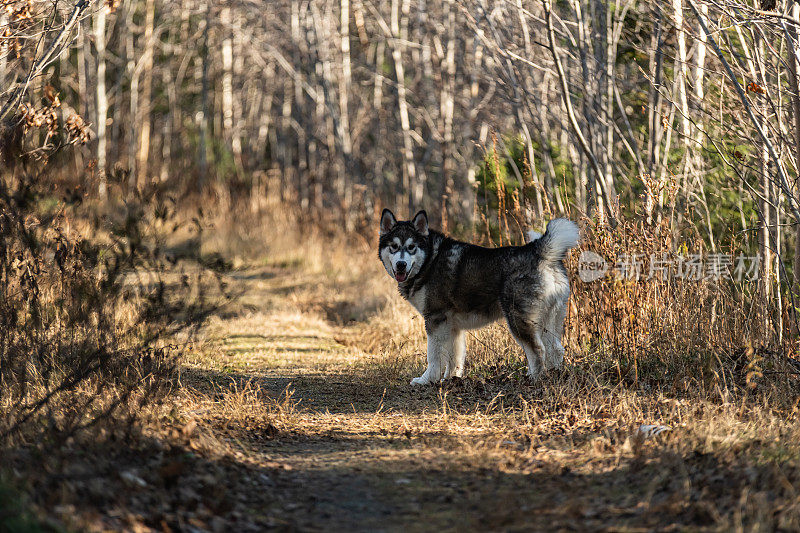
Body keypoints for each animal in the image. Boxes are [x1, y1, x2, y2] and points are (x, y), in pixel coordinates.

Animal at [378, 206, 580, 384]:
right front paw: (450, 379)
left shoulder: (435, 320)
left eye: (411, 247)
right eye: (394, 246)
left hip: (518, 320)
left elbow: (434, 357)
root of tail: (539, 252)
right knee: (556, 349)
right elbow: (454, 358)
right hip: (549, 320)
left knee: (538, 351)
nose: (401, 265)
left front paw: (426, 380)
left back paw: (534, 379)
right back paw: (555, 376)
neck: (429, 261)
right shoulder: (453, 326)